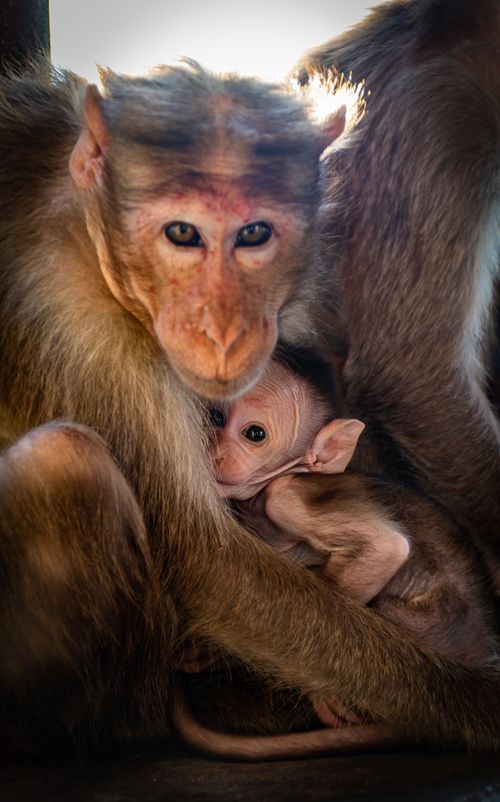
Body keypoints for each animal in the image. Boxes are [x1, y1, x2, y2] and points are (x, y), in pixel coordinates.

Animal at [1, 11, 500, 757]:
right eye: (182, 233)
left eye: (255, 233)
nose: (225, 327)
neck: (84, 228)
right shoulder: (78, 319)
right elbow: (207, 563)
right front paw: (476, 705)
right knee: (66, 460)